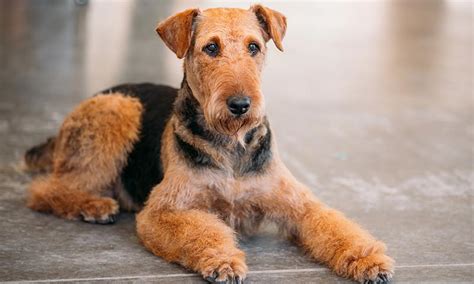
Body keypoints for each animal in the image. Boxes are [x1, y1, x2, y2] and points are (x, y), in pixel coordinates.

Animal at [25, 5, 394, 284]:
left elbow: (336, 227)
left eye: (254, 46)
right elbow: (202, 231)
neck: (231, 144)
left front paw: (369, 261)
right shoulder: (164, 211)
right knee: (46, 189)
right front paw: (223, 261)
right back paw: (94, 206)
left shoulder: (298, 204)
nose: (241, 105)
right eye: (211, 47)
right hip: (118, 109)